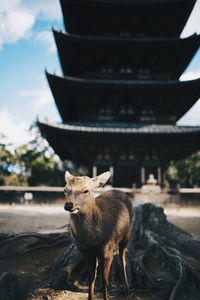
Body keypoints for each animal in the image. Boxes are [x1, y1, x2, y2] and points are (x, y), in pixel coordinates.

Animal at [63, 171, 133, 300]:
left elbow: (104, 279)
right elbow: (91, 277)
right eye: (65, 189)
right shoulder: (86, 252)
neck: (91, 240)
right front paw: (91, 296)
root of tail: (119, 190)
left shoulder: (107, 250)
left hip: (127, 233)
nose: (69, 205)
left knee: (122, 258)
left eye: (85, 190)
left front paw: (106, 296)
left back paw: (126, 288)